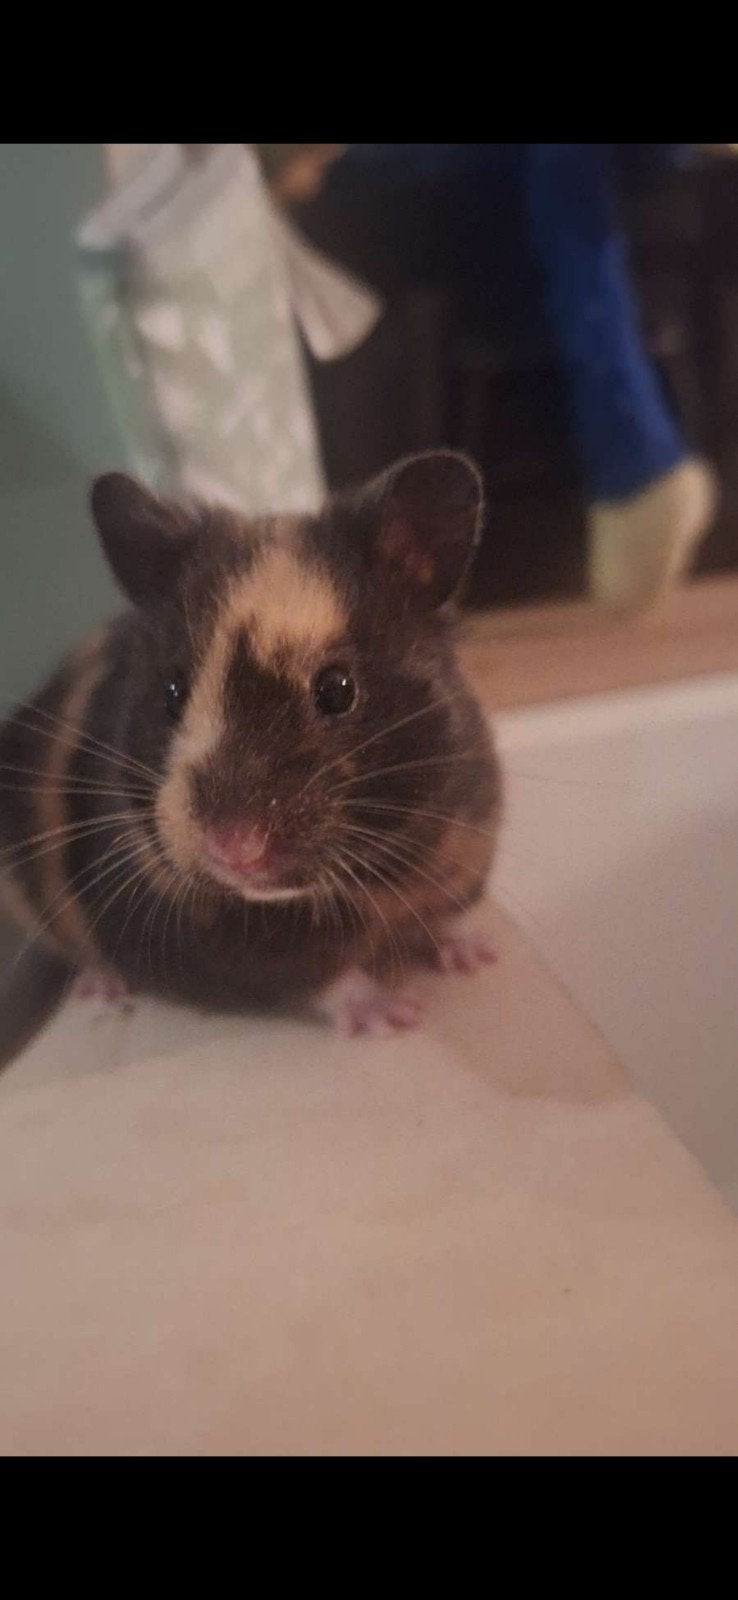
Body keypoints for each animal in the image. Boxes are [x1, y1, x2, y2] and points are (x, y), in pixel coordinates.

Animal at [0, 451, 501, 1036]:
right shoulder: (231, 946)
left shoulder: (466, 846)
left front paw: (477, 957)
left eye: (338, 689)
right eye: (172, 692)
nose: (234, 848)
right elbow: (328, 978)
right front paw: (398, 1016)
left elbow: (450, 918)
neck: (372, 881)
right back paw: (101, 986)